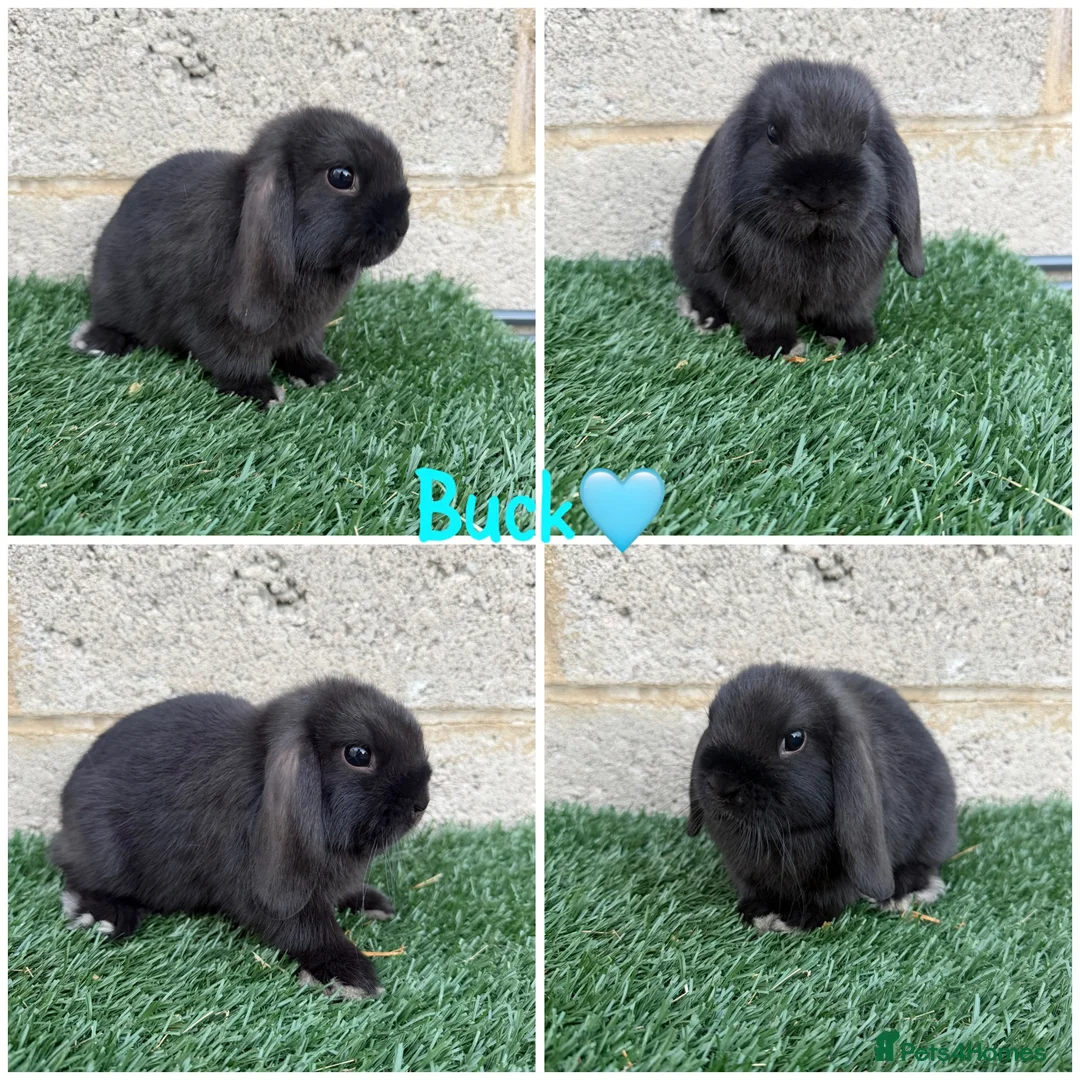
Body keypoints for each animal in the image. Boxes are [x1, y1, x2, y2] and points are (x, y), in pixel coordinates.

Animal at [50, 678, 432, 999]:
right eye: (358, 754)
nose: (421, 803)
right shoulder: (263, 889)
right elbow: (308, 929)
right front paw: (351, 976)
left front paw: (372, 903)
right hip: (106, 854)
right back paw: (104, 916)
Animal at [69, 107, 411, 407]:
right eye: (341, 177)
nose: (401, 227)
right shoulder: (217, 324)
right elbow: (235, 358)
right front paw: (260, 393)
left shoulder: (306, 328)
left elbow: (303, 347)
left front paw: (318, 372)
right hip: (115, 295)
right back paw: (94, 342)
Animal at [672, 59, 924, 358]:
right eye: (771, 133)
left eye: (863, 137)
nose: (821, 198)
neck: (814, 243)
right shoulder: (759, 289)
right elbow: (764, 314)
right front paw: (776, 347)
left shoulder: (856, 289)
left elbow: (849, 311)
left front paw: (852, 339)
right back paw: (705, 317)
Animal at [687, 664, 956, 932]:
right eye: (712, 722)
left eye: (795, 739)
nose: (721, 783)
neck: (781, 836)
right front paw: (758, 912)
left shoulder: (839, 875)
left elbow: (827, 897)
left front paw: (795, 919)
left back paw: (901, 893)